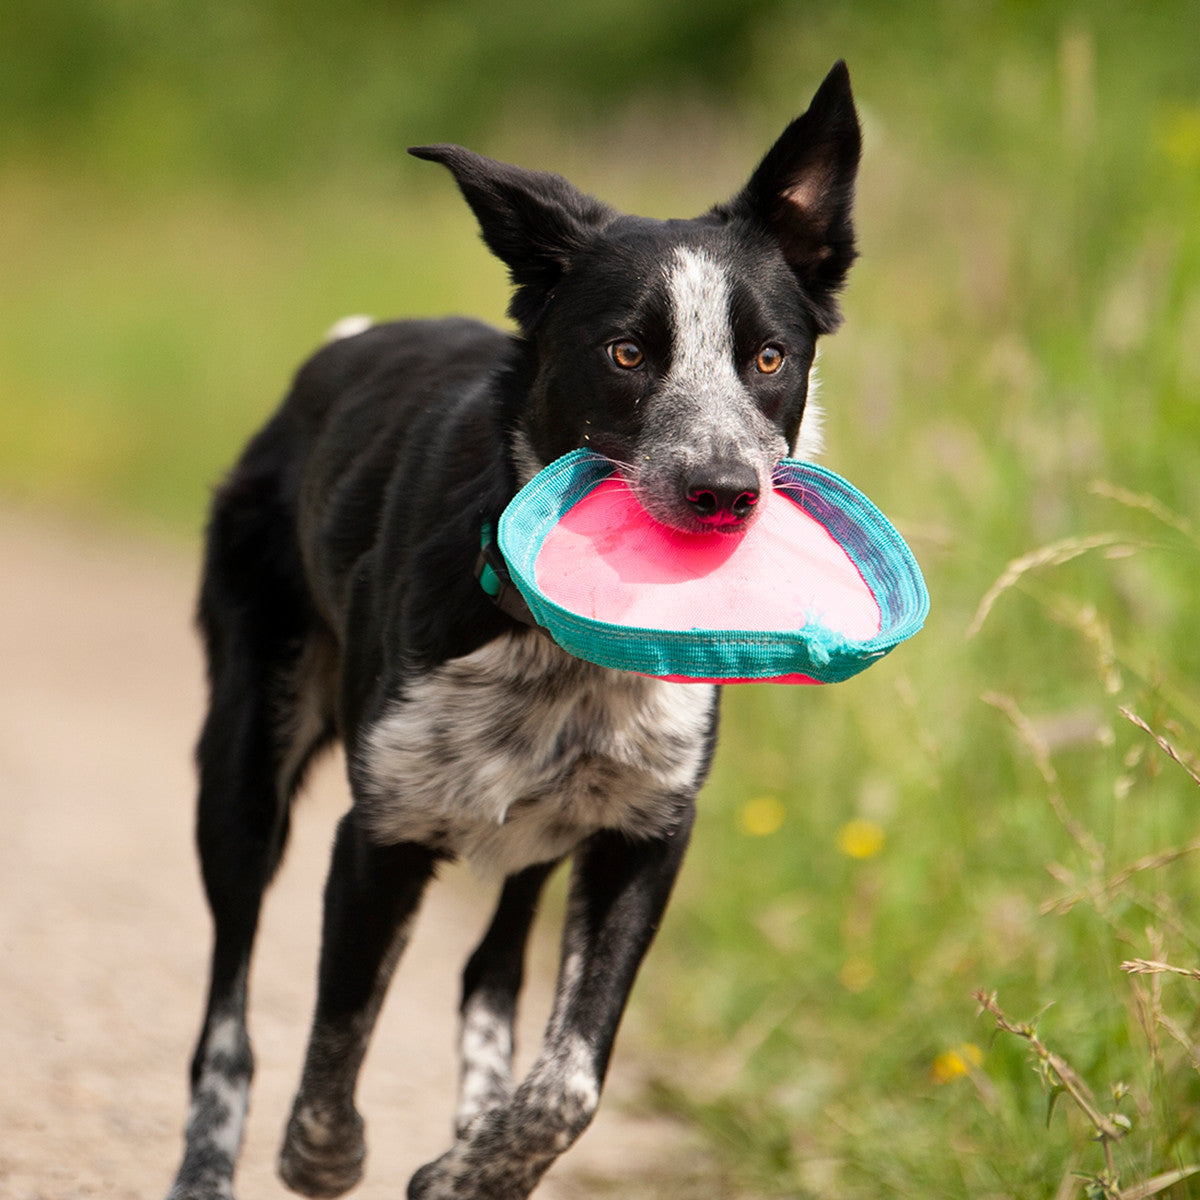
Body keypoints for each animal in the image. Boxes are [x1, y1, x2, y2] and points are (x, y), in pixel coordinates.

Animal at [166, 60, 864, 1200]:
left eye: (769, 358)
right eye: (627, 352)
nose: (725, 493)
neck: (563, 655)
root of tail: (337, 354)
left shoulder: (643, 834)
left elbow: (572, 1078)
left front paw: (471, 1168)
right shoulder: (385, 828)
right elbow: (333, 1050)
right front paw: (329, 1157)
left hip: (538, 830)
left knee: (488, 972)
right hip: (244, 763)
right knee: (227, 1015)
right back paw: (209, 1160)